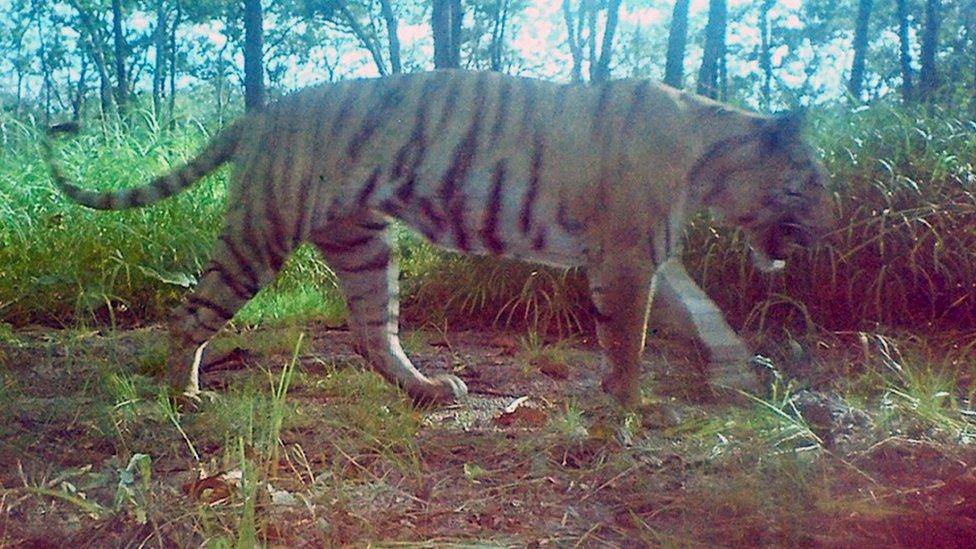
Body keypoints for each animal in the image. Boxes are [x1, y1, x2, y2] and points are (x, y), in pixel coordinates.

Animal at [43, 69, 832, 406]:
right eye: (813, 180)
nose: (826, 229)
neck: (712, 158)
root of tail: (258, 113)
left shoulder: (653, 257)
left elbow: (704, 313)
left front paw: (735, 372)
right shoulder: (627, 257)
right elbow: (629, 340)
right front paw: (625, 407)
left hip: (365, 245)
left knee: (371, 332)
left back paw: (428, 389)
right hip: (261, 234)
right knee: (189, 315)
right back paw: (185, 397)